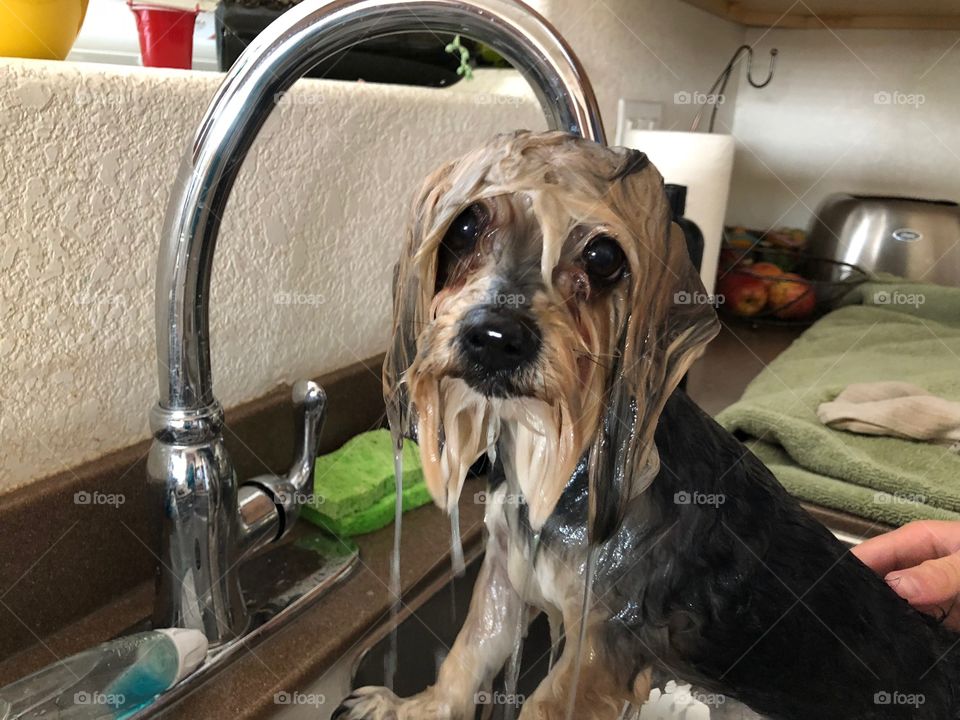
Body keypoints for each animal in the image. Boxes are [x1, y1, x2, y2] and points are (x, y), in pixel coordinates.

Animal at [336, 132, 960, 716]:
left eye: (603, 256)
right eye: (465, 225)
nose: (495, 337)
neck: (571, 459)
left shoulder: (602, 645)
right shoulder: (507, 573)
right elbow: (471, 650)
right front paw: (410, 708)